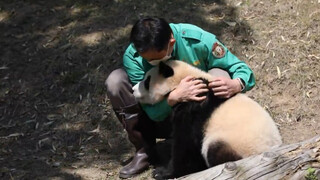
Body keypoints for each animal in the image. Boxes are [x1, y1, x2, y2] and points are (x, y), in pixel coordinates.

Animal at [132, 60, 282, 179]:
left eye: (147, 81)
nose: (133, 89)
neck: (184, 80)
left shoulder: (194, 106)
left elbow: (184, 144)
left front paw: (162, 172)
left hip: (237, 143)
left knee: (216, 151)